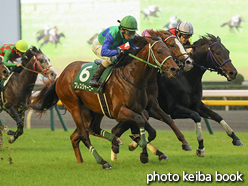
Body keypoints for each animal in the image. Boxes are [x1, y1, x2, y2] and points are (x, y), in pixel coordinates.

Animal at [30, 35, 179, 169]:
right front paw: (141, 149)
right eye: (159, 52)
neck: (132, 78)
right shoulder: (119, 112)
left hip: (96, 108)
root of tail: (61, 75)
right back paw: (103, 162)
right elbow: (140, 122)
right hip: (73, 105)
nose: (175, 69)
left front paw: (144, 154)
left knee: (92, 128)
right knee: (84, 134)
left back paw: (114, 142)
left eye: (170, 51)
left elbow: (150, 130)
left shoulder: (138, 109)